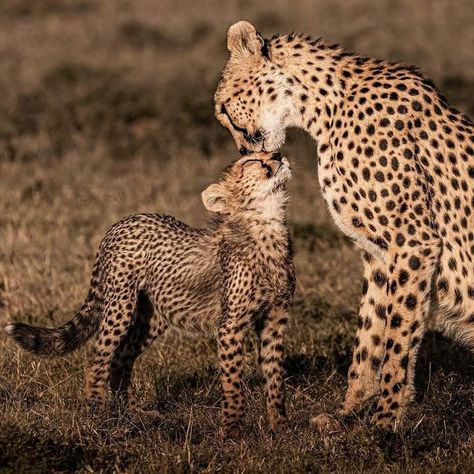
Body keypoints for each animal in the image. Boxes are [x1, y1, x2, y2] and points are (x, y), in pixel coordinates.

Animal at [5, 151, 294, 436]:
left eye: (269, 152)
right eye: (252, 161)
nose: (279, 155)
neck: (266, 224)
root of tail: (123, 221)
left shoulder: (275, 318)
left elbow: (275, 375)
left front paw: (280, 427)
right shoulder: (230, 325)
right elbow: (233, 380)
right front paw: (232, 430)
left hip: (153, 317)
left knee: (120, 359)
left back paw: (132, 415)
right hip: (121, 306)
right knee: (98, 359)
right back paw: (98, 413)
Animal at [215, 21, 474, 430]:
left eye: (224, 108)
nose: (244, 151)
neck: (323, 106)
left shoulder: (413, 242)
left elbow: (398, 336)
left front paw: (385, 423)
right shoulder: (380, 254)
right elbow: (371, 332)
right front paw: (350, 412)